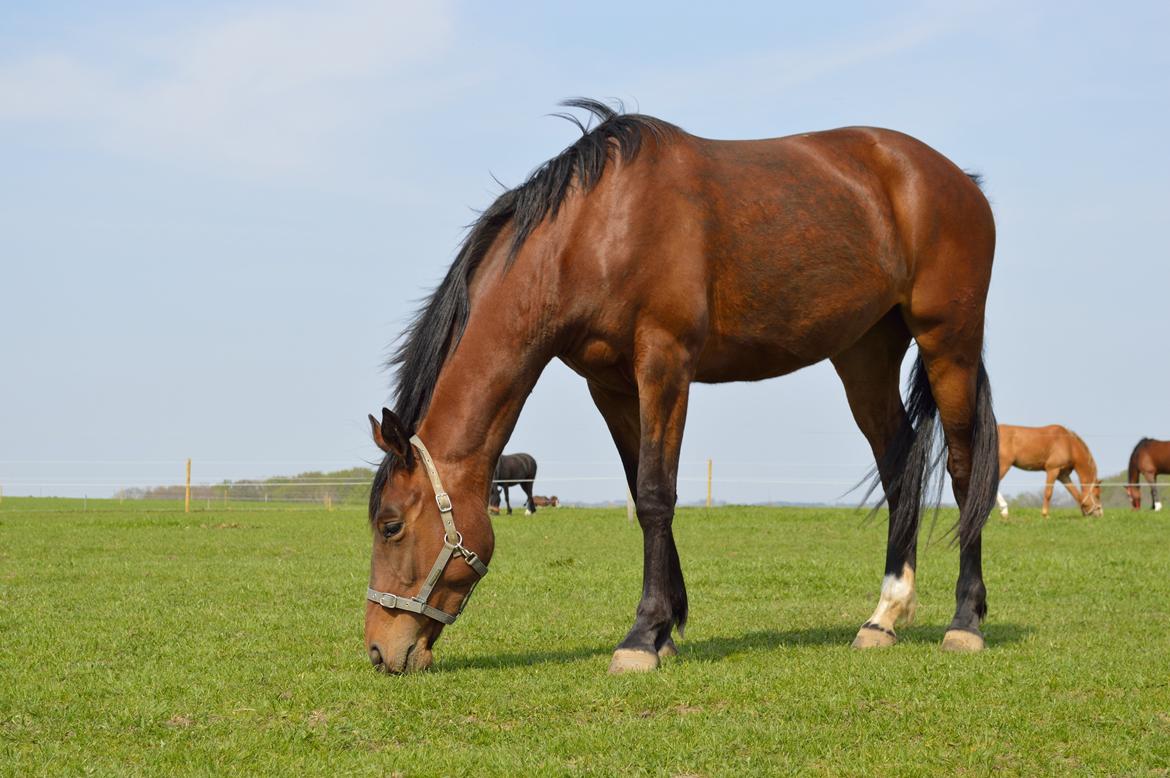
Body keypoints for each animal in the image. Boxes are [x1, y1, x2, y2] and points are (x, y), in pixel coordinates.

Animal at [362, 98, 996, 673]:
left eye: (391, 526)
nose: (378, 650)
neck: (594, 231)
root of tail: (958, 180)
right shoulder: (610, 386)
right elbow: (640, 486)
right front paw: (666, 628)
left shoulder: (664, 364)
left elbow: (653, 494)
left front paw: (642, 637)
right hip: (864, 354)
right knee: (900, 466)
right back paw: (884, 617)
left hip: (949, 343)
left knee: (964, 470)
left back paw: (965, 622)